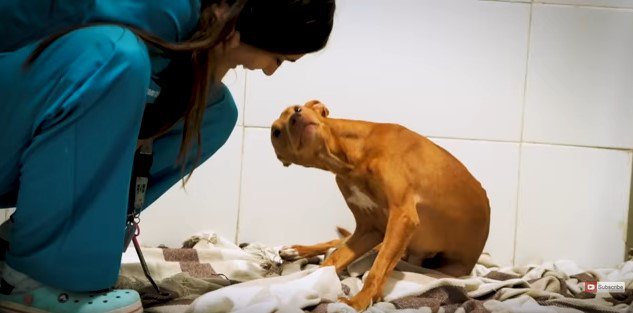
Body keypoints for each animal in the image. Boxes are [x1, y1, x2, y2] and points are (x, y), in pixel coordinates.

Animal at [270, 100, 492, 310]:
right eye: (276, 132)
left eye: (296, 107)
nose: (296, 117)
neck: (350, 159)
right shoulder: (371, 229)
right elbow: (332, 261)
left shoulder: (402, 218)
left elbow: (377, 268)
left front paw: (358, 300)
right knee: (337, 242)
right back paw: (294, 250)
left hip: (443, 268)